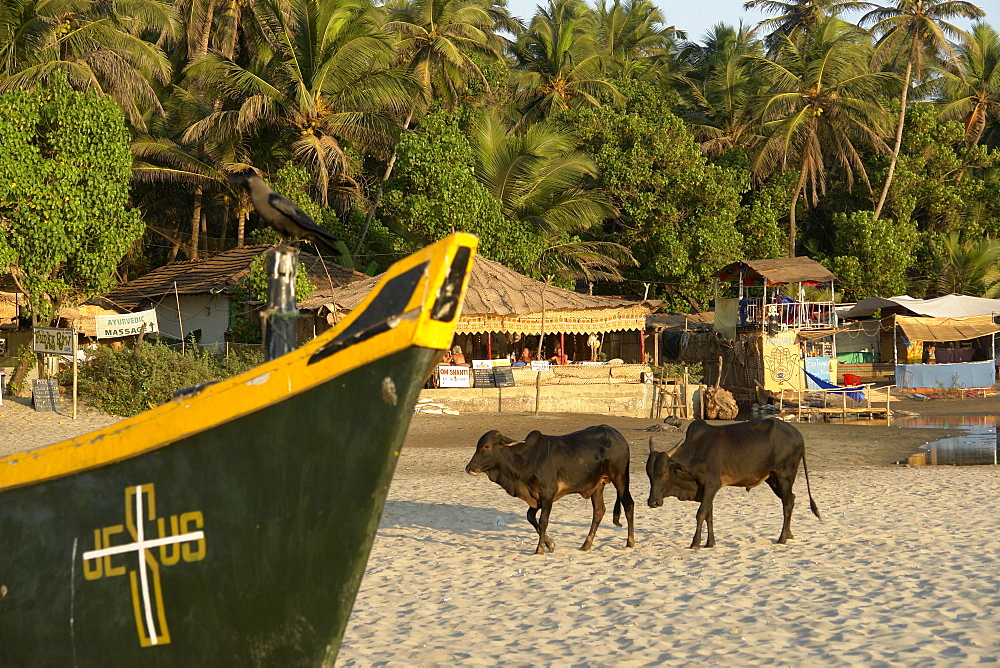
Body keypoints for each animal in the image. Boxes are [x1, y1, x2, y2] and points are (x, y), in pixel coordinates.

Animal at [466, 426, 636, 556]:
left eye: (486, 446)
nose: (469, 468)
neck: (526, 459)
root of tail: (618, 435)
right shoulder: (537, 498)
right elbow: (530, 517)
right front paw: (550, 544)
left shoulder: (547, 495)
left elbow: (543, 522)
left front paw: (540, 549)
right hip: (597, 486)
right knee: (599, 511)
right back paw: (586, 545)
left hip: (620, 478)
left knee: (628, 504)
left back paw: (630, 542)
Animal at [648, 418, 820, 548]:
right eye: (649, 475)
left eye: (664, 473)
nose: (653, 502)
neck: (697, 449)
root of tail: (798, 435)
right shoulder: (705, 489)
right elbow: (709, 515)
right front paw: (710, 543)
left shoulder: (712, 485)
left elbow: (701, 514)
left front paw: (695, 543)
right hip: (773, 479)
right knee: (791, 498)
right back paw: (789, 534)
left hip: (784, 476)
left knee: (787, 503)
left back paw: (782, 538)